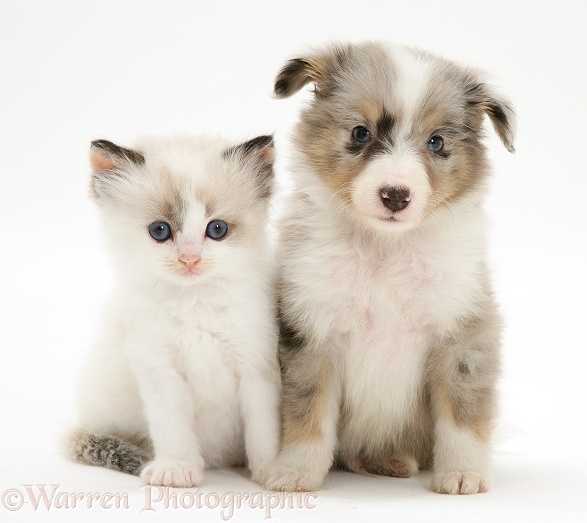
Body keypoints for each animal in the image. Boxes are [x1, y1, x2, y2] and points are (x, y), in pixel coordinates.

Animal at [68, 134, 280, 488]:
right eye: (160, 231)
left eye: (217, 229)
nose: (189, 259)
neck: (194, 302)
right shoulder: (158, 368)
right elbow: (173, 428)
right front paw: (177, 468)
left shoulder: (258, 364)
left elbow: (264, 429)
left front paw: (274, 469)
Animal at [264, 41, 516, 496]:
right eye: (360, 133)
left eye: (436, 142)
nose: (396, 195)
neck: (385, 248)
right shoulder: (313, 333)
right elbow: (308, 412)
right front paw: (295, 471)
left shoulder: (462, 335)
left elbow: (462, 412)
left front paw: (463, 473)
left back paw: (393, 459)